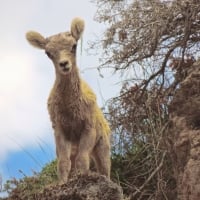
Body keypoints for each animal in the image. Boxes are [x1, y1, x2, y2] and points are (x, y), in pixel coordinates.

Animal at [25, 18, 111, 182]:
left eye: (74, 46)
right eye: (48, 53)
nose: (64, 64)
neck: (70, 111)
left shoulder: (88, 128)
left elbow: (82, 160)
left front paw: (83, 177)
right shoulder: (60, 130)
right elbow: (63, 163)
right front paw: (63, 183)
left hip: (102, 146)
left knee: (104, 169)